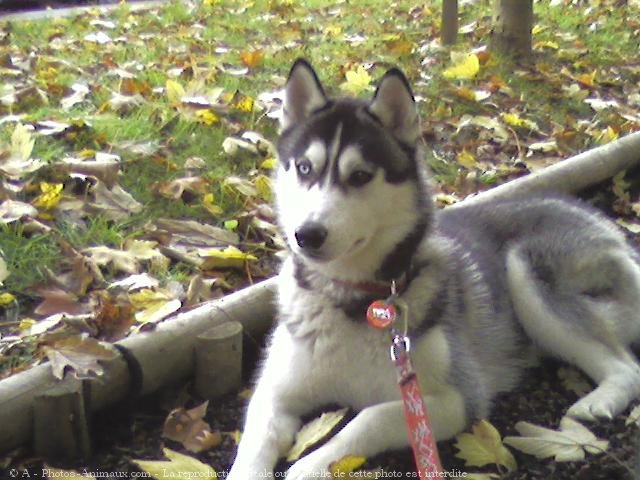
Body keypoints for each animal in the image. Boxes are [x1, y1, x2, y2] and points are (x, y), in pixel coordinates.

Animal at [226, 61, 640, 480]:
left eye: (359, 176)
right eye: (304, 168)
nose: (307, 234)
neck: (357, 301)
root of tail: (596, 217)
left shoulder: (457, 399)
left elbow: (370, 418)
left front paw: (311, 464)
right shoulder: (274, 393)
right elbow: (254, 441)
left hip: (526, 270)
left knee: (626, 367)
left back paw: (597, 403)